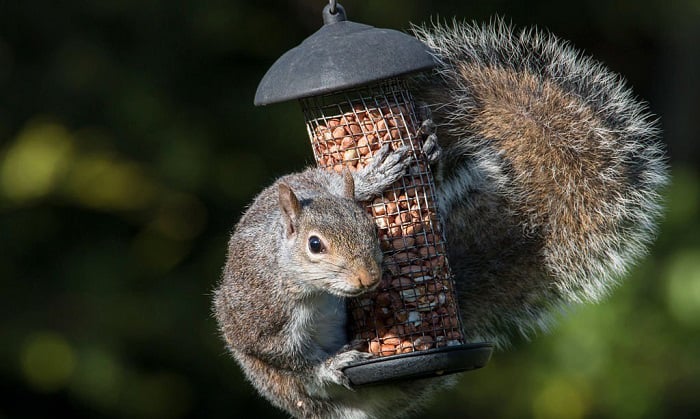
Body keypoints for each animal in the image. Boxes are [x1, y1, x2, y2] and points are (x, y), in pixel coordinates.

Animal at [212, 18, 668, 419]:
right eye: (314, 245)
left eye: (369, 228)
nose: (368, 279)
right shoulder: (262, 317)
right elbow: (291, 361)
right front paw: (330, 365)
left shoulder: (307, 182)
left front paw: (376, 175)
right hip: (285, 388)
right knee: (305, 386)